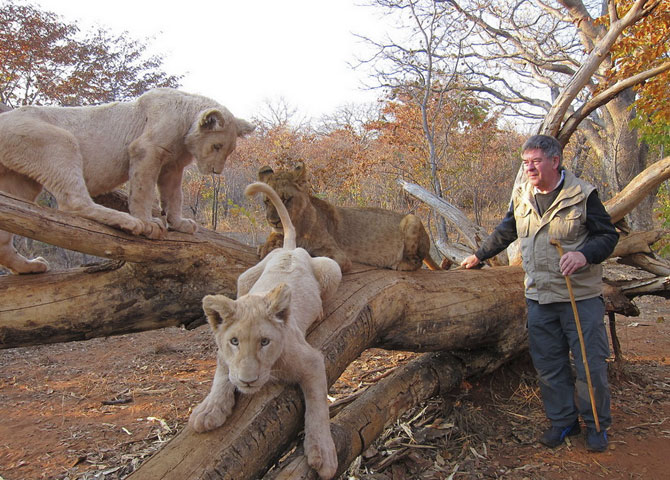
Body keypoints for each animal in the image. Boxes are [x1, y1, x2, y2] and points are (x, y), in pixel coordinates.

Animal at [0, 87, 256, 272]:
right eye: (217, 146)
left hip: (21, 180)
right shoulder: (147, 149)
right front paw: (148, 223)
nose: (216, 171)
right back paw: (127, 221)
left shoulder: (173, 166)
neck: (185, 123)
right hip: (58, 140)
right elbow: (143, 191)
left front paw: (180, 223)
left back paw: (30, 267)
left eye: (230, 150)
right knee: (73, 203)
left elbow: (174, 196)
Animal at [192, 181, 344, 480]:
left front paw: (323, 453)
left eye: (265, 342)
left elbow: (317, 404)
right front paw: (209, 410)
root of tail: (290, 250)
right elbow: (222, 373)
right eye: (234, 341)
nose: (248, 381)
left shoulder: (312, 360)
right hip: (245, 278)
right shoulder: (223, 353)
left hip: (331, 268)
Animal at [256, 162, 440, 272]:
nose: (273, 221)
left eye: (285, 200)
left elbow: (308, 253)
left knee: (417, 261)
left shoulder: (338, 256)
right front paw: (264, 246)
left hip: (412, 219)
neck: (295, 225)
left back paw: (399, 264)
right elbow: (273, 238)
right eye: (266, 201)